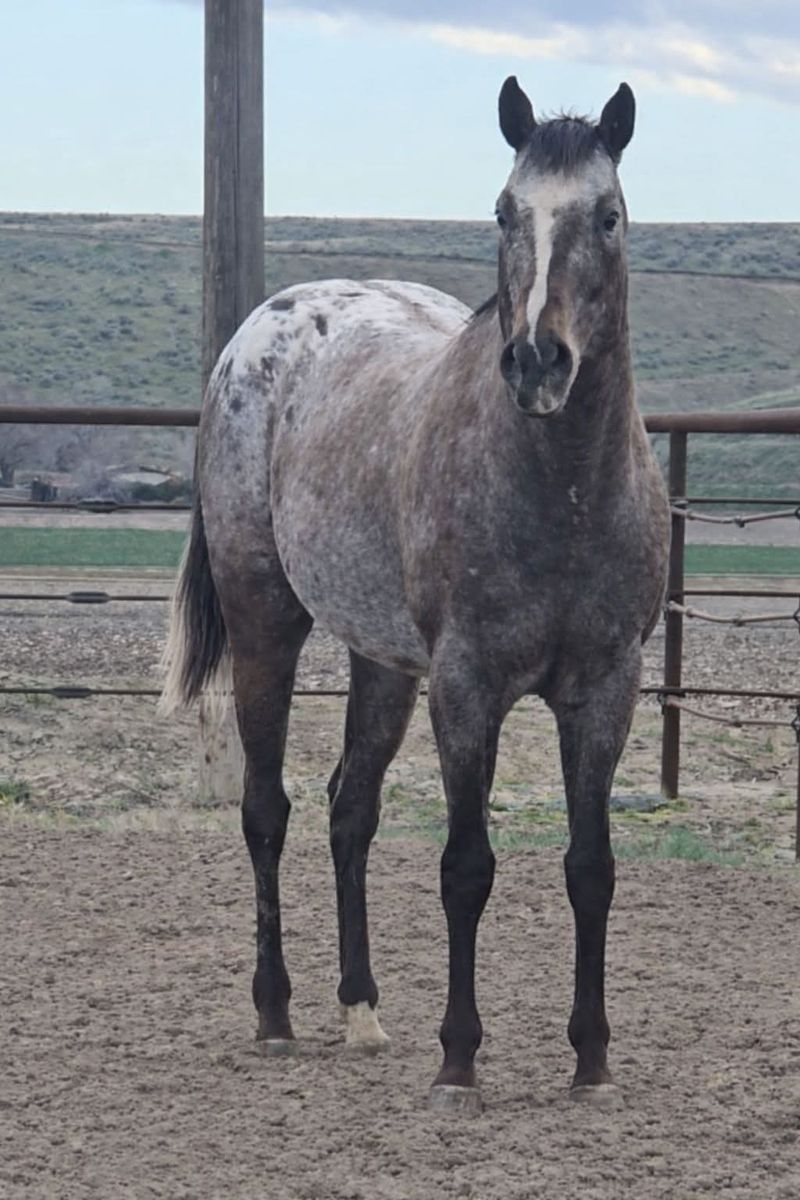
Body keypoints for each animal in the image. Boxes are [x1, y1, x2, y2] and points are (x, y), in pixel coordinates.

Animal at [162, 76, 670, 1114]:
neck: (562, 488)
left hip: (382, 662)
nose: (537, 363)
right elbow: (466, 868)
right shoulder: (466, 688)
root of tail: (255, 337)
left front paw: (592, 1060)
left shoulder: (607, 690)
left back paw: (360, 1010)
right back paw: (276, 1013)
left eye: (607, 215)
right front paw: (459, 1059)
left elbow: (591, 868)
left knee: (348, 809)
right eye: (504, 211)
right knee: (267, 809)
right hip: (267, 625)